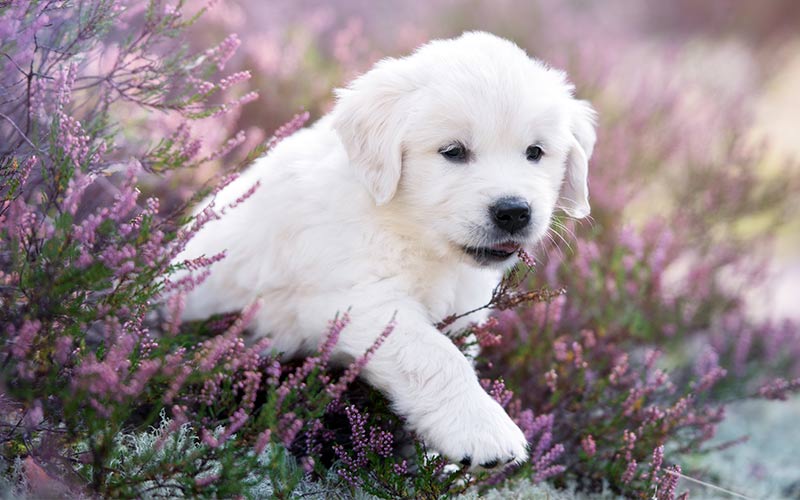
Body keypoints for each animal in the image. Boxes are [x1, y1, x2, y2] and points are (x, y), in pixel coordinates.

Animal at [175, 31, 592, 468]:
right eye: (453, 151)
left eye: (535, 152)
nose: (513, 212)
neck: (410, 229)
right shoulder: (353, 301)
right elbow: (435, 356)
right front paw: (482, 430)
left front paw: (442, 465)